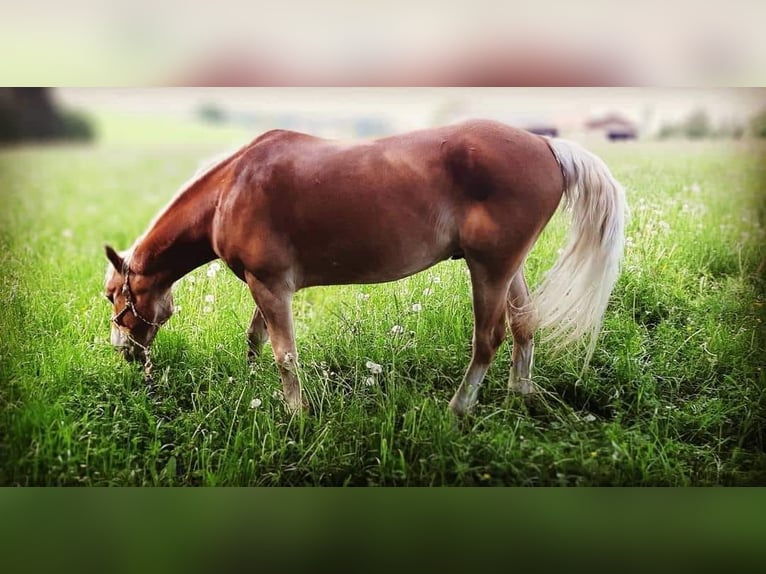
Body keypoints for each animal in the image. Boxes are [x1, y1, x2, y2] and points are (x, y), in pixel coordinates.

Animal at [103, 120, 632, 418]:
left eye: (113, 296)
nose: (124, 355)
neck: (230, 190)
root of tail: (545, 145)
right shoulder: (261, 286)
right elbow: (256, 339)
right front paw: (254, 384)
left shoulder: (271, 286)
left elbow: (285, 354)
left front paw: (296, 414)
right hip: (507, 268)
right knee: (524, 325)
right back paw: (521, 392)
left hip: (490, 269)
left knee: (489, 339)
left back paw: (458, 408)